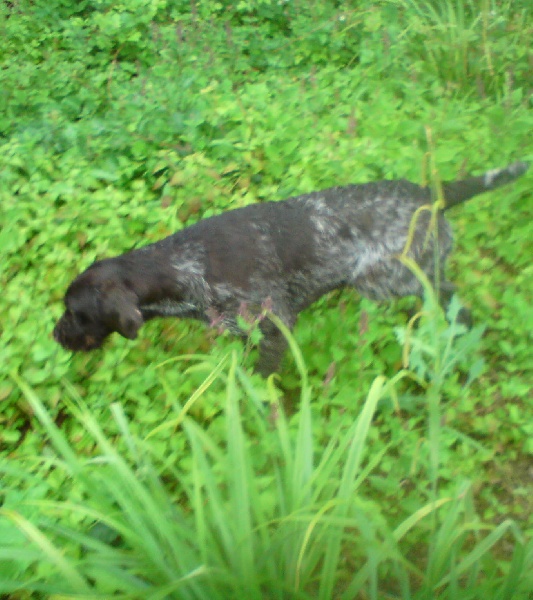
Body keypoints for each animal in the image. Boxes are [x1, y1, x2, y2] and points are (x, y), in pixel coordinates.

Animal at [52, 162, 524, 372]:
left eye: (76, 313)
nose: (55, 335)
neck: (183, 267)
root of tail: (430, 194)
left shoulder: (276, 326)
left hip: (386, 279)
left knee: (452, 300)